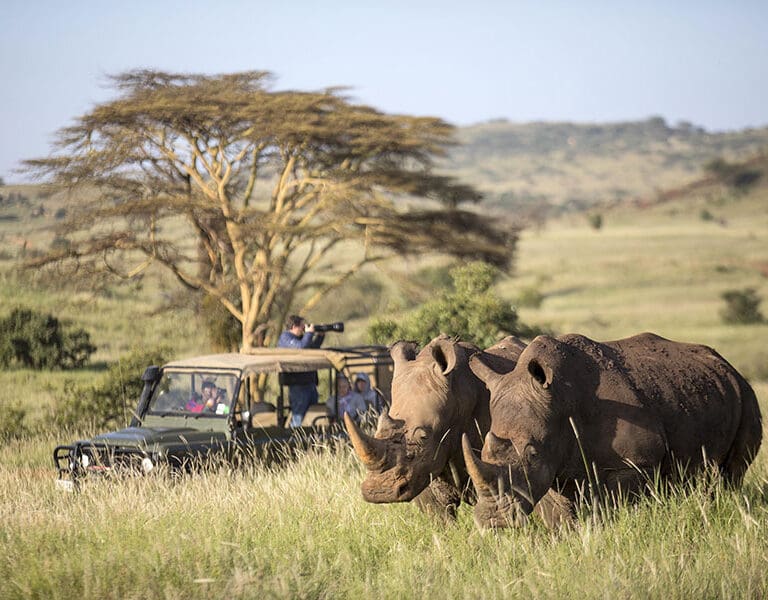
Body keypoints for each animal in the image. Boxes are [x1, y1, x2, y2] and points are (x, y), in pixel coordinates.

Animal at [462, 332, 763, 528]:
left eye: (532, 453)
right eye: (484, 450)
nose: (492, 521)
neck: (561, 401)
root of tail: (727, 365)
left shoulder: (633, 463)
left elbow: (619, 506)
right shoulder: (552, 466)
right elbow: (558, 516)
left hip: (745, 395)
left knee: (730, 473)